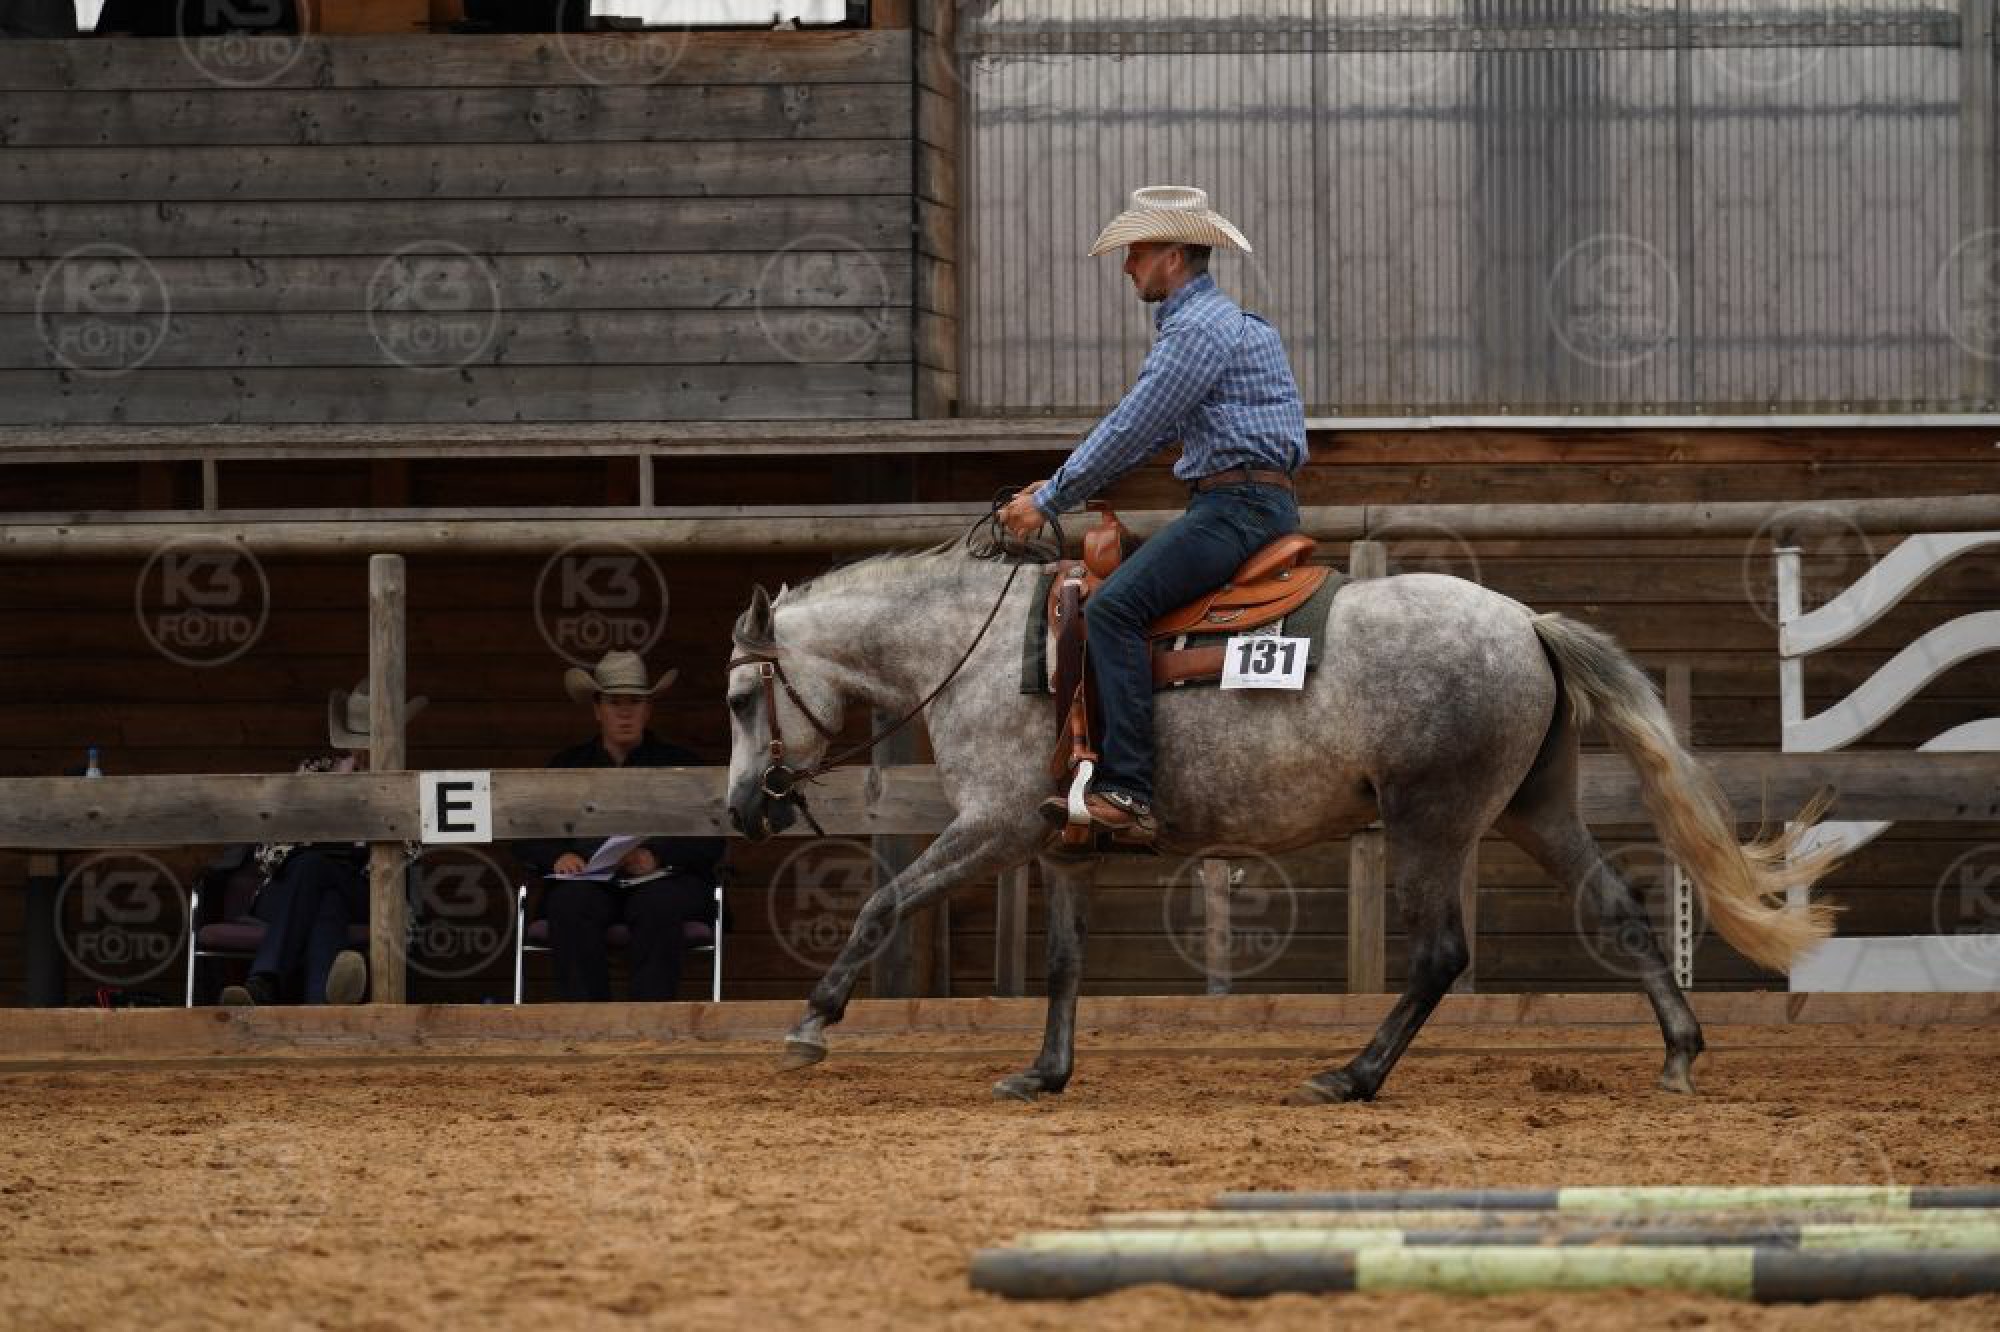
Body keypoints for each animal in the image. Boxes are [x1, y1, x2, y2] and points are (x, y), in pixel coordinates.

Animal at [723, 536, 1835, 1104]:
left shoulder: (993, 827)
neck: (985, 649)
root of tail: (1525, 622)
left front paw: (812, 1023)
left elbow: (884, 905)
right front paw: (1044, 1072)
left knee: (1440, 953)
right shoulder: (1060, 846)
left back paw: (1351, 1075)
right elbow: (1064, 962)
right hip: (1536, 810)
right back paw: (1678, 1052)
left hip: (1430, 822)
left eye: (739, 700)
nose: (739, 808)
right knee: (1618, 910)